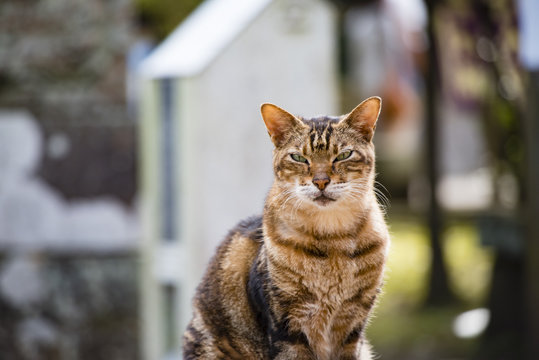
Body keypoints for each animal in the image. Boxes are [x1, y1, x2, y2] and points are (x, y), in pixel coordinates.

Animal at [184, 96, 390, 360]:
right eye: (299, 158)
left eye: (344, 155)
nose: (321, 181)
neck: (334, 240)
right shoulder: (288, 326)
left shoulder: (352, 326)